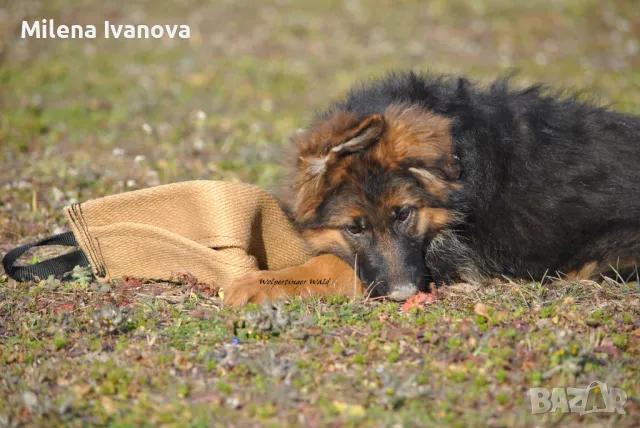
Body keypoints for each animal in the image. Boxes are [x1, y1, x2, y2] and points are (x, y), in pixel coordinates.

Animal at [224, 72, 640, 306]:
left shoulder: (446, 256)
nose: (405, 296)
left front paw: (259, 283)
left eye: (405, 214)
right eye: (354, 228)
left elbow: (333, 264)